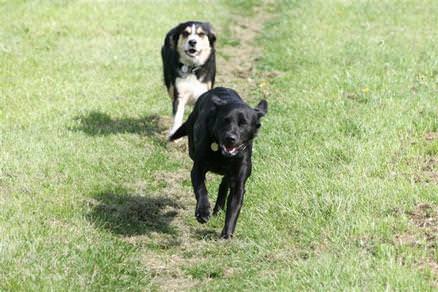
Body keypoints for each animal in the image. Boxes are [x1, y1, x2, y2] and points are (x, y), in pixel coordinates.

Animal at [169, 86, 266, 240]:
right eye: (225, 120)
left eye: (243, 123)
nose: (230, 138)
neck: (222, 154)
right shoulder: (197, 169)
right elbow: (201, 189)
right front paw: (203, 212)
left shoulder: (239, 182)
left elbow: (234, 208)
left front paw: (227, 234)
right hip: (192, 149)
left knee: (224, 183)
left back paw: (218, 209)